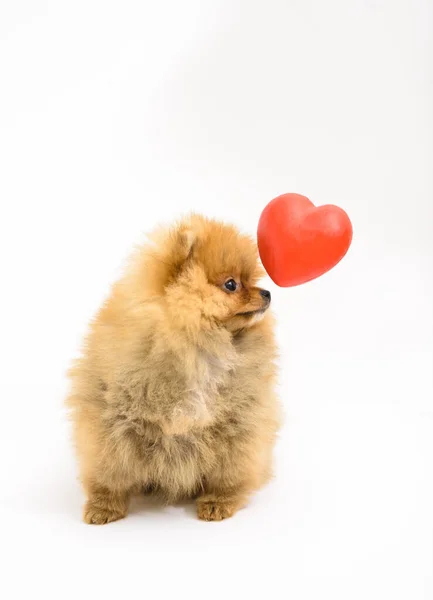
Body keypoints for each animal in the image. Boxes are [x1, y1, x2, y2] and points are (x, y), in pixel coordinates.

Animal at [66, 213, 278, 524]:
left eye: (253, 280)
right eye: (231, 285)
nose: (267, 292)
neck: (200, 344)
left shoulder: (238, 423)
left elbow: (228, 474)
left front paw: (219, 501)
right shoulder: (113, 421)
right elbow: (110, 471)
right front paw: (105, 504)